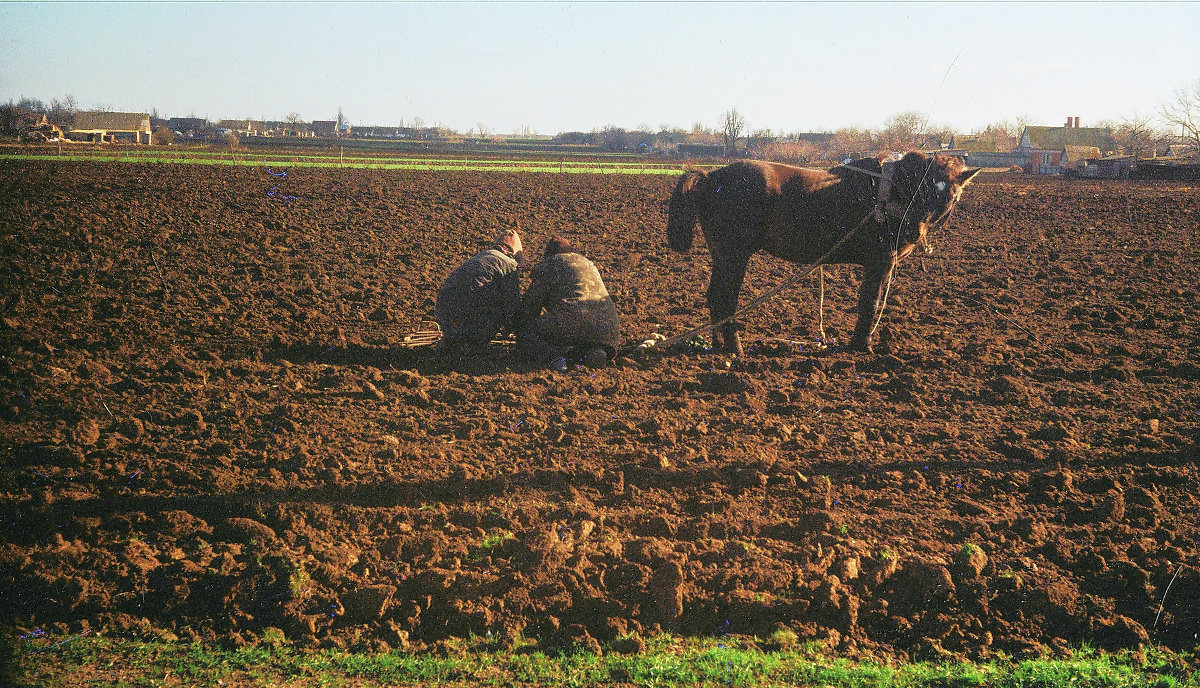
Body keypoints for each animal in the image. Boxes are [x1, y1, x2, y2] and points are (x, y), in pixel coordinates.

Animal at [672, 150, 979, 353]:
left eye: (948, 196)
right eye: (920, 189)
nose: (914, 232)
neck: (889, 193)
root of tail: (710, 177)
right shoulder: (880, 261)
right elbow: (870, 303)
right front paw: (862, 345)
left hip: (722, 256)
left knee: (714, 297)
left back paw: (717, 345)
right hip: (734, 256)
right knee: (726, 299)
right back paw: (735, 348)